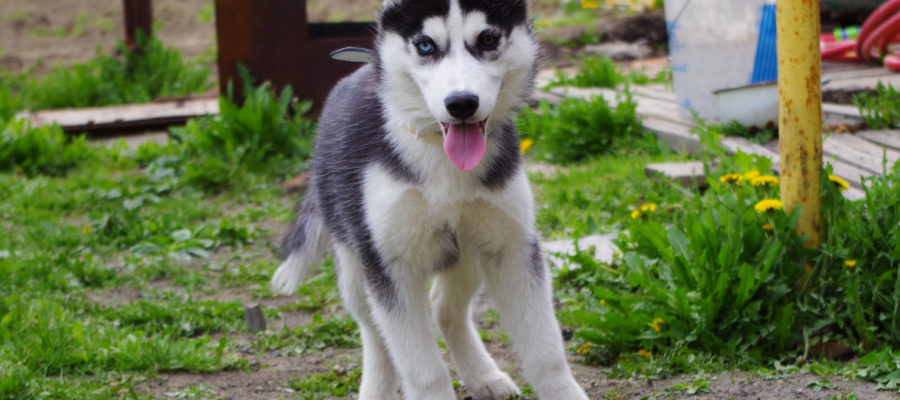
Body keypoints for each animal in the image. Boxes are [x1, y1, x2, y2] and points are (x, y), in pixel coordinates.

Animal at [270, 1, 588, 398]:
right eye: (425, 46)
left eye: (488, 39)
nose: (462, 104)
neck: (441, 155)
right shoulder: (390, 265)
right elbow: (423, 371)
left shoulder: (512, 248)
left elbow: (547, 356)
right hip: (355, 262)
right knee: (374, 331)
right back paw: (376, 387)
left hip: (468, 252)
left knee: (444, 309)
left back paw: (484, 375)